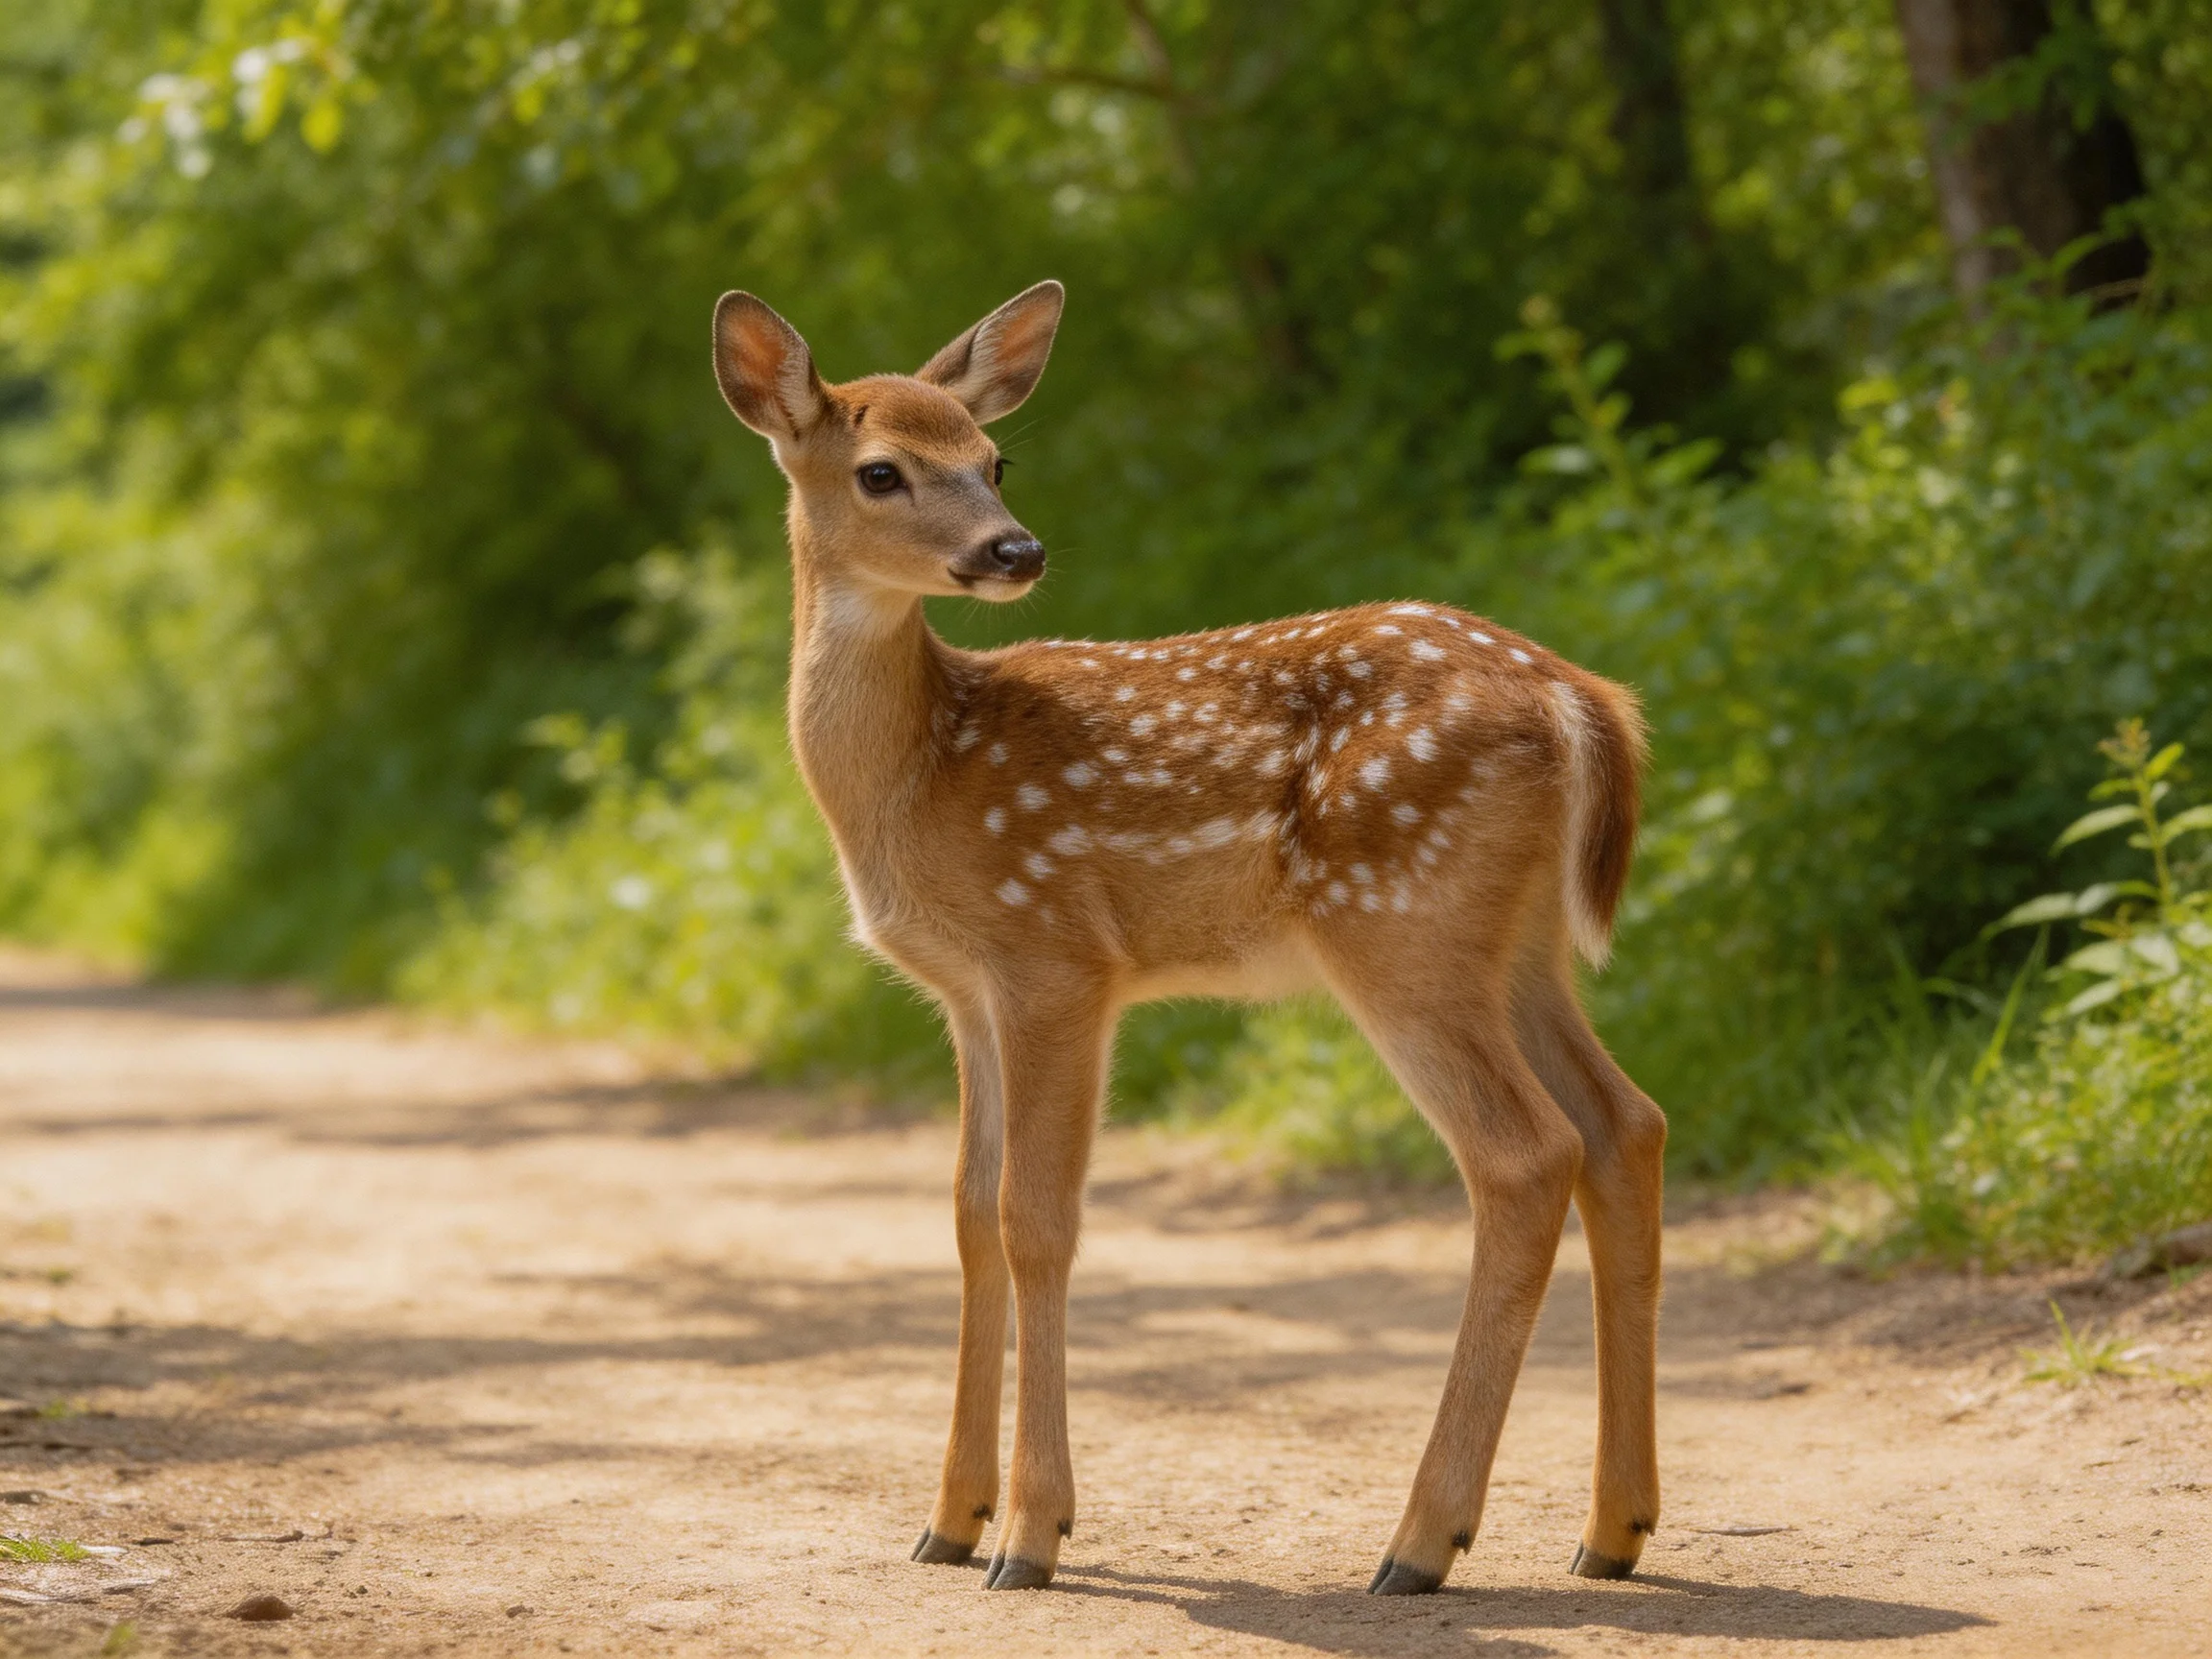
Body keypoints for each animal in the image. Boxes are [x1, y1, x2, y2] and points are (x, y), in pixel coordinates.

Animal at [709, 279, 1666, 1596]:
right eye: (882, 472)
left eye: (996, 459)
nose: (1015, 549)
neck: (915, 777)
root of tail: (1586, 701)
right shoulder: (964, 992)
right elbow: (966, 1214)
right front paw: (947, 1522)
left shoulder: (1057, 956)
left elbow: (1036, 1222)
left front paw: (1031, 1536)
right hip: (1515, 944)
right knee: (1627, 1124)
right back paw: (1610, 1530)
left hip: (1399, 921)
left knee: (1526, 1156)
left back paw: (1420, 1543)